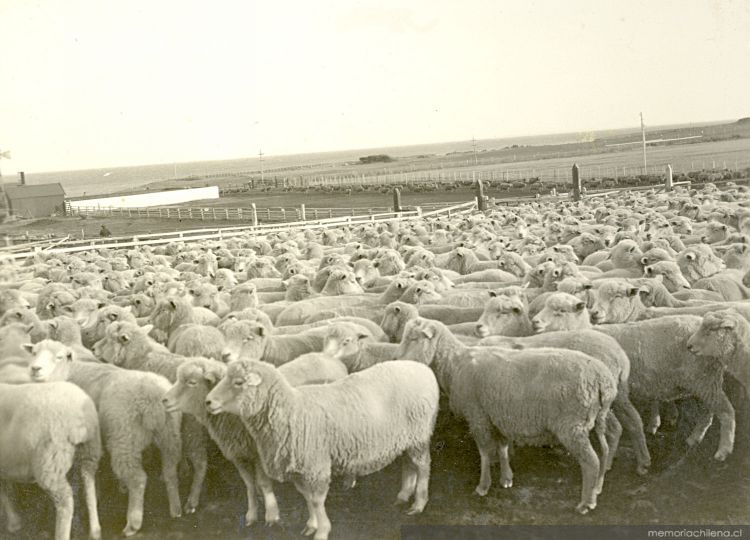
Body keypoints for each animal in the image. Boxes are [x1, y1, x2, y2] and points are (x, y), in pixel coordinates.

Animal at [0, 380, 102, 540]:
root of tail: (80, 419)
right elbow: (4, 490)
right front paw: (14, 522)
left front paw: (13, 522)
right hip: (89, 452)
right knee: (89, 484)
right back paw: (95, 531)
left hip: (50, 463)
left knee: (66, 503)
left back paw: (61, 534)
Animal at [25, 340, 184, 532]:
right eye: (33, 352)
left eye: (59, 357)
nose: (35, 369)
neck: (67, 372)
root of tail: (152, 399)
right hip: (170, 434)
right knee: (170, 470)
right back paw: (176, 508)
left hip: (124, 438)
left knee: (138, 478)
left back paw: (133, 523)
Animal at [206, 358, 440, 540]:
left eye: (238, 382)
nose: (208, 401)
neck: (291, 410)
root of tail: (424, 369)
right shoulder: (301, 467)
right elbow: (307, 497)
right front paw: (312, 525)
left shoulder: (315, 465)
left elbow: (317, 500)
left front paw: (322, 531)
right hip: (407, 438)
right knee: (409, 464)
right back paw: (404, 495)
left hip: (419, 434)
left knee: (423, 467)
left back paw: (419, 503)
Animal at [396, 318, 620, 512]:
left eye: (414, 338)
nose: (397, 360)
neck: (454, 363)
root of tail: (602, 379)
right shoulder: (498, 416)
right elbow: (502, 448)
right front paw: (506, 479)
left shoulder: (477, 416)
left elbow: (485, 452)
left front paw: (483, 486)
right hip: (595, 419)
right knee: (604, 450)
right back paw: (597, 488)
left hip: (572, 425)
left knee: (591, 461)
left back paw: (586, 503)